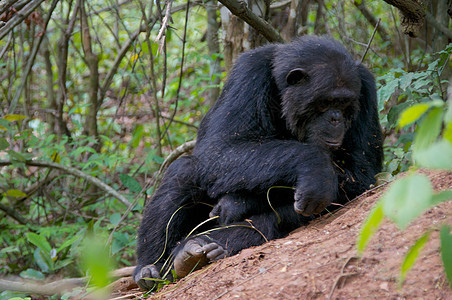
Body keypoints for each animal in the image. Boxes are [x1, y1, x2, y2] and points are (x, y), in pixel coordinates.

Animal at [133, 35, 382, 290]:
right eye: (326, 102)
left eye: (344, 104)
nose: (336, 118)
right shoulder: (248, 72)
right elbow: (220, 148)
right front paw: (315, 168)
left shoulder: (366, 87)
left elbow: (359, 173)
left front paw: (238, 203)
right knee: (184, 171)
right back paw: (151, 268)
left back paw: (201, 249)